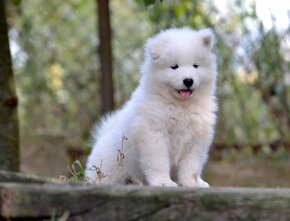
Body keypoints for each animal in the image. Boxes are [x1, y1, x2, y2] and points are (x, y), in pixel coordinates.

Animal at [86, 26, 218, 187]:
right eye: (174, 66)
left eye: (195, 65)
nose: (188, 80)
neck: (181, 106)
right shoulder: (154, 135)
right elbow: (158, 162)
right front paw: (164, 182)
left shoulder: (197, 139)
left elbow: (191, 165)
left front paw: (191, 183)